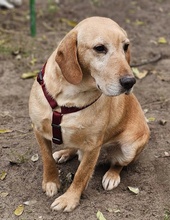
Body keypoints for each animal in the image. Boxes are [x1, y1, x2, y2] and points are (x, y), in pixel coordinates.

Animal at [28, 16, 149, 212]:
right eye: (100, 48)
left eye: (126, 46)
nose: (130, 82)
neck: (69, 97)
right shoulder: (39, 130)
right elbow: (47, 159)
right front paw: (51, 182)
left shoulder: (93, 146)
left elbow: (81, 175)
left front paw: (69, 199)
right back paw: (65, 152)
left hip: (129, 148)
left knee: (118, 164)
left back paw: (111, 176)